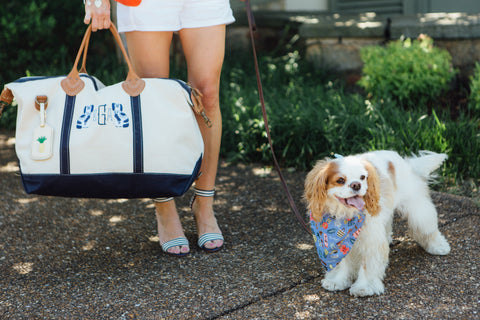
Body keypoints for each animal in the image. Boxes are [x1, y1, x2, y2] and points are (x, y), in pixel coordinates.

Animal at [306, 151, 452, 296]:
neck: (346, 215)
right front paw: (337, 281)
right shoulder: (340, 243)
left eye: (362, 177)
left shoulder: (371, 240)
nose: (356, 185)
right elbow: (342, 262)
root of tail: (406, 162)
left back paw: (438, 246)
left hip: (417, 208)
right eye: (340, 180)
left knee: (427, 226)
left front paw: (364, 287)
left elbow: (368, 264)